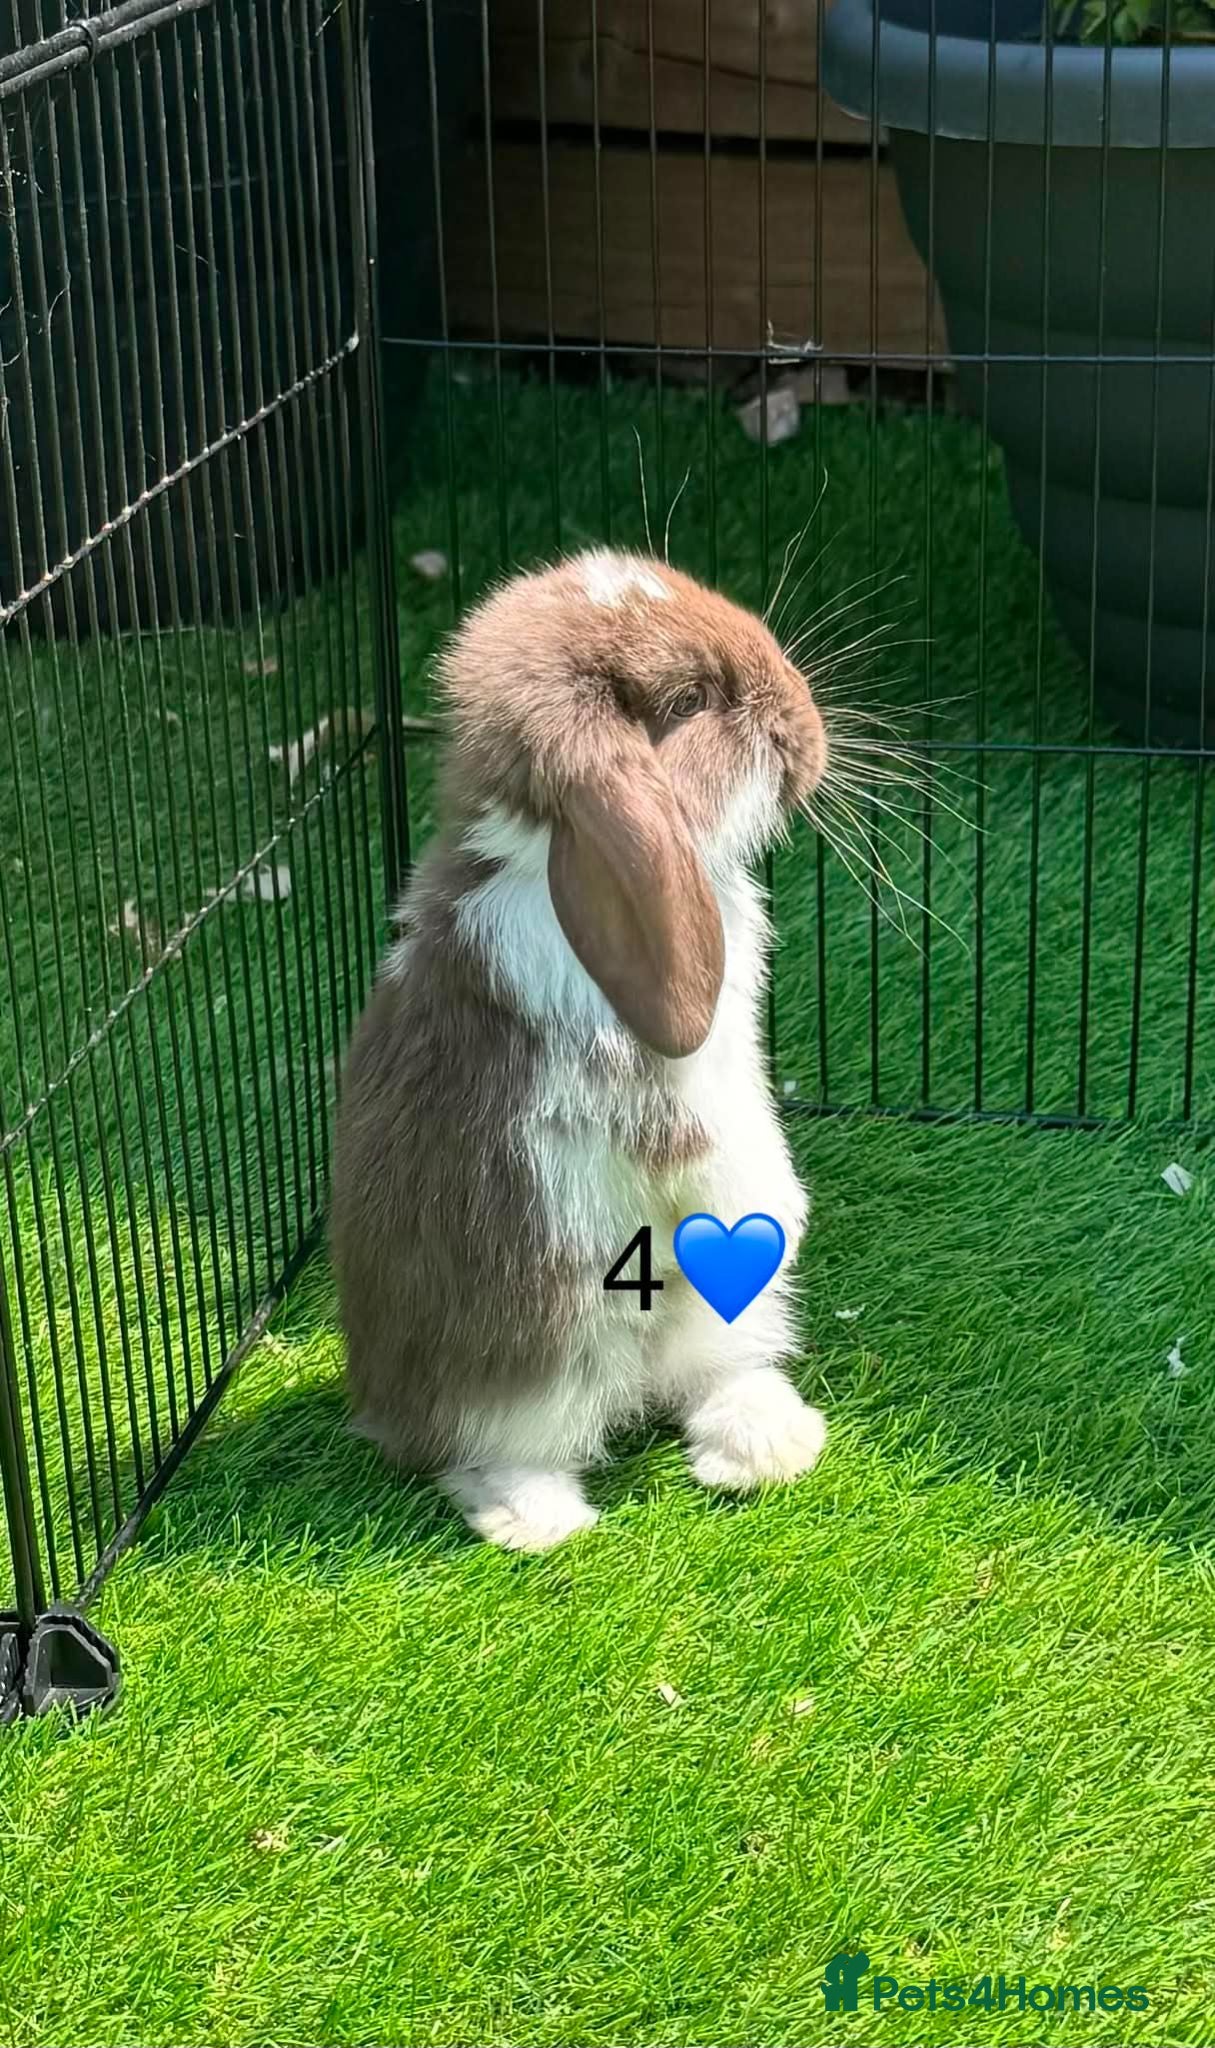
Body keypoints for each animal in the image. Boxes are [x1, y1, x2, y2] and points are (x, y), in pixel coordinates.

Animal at [330, 547, 829, 1552]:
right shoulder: (678, 1100)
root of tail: (386, 1408)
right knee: (494, 1449)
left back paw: (767, 1446)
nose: (804, 727)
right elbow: (711, 1155)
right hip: (541, 1347)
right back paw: (538, 1520)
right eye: (689, 700)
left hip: (720, 1322)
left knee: (707, 1378)